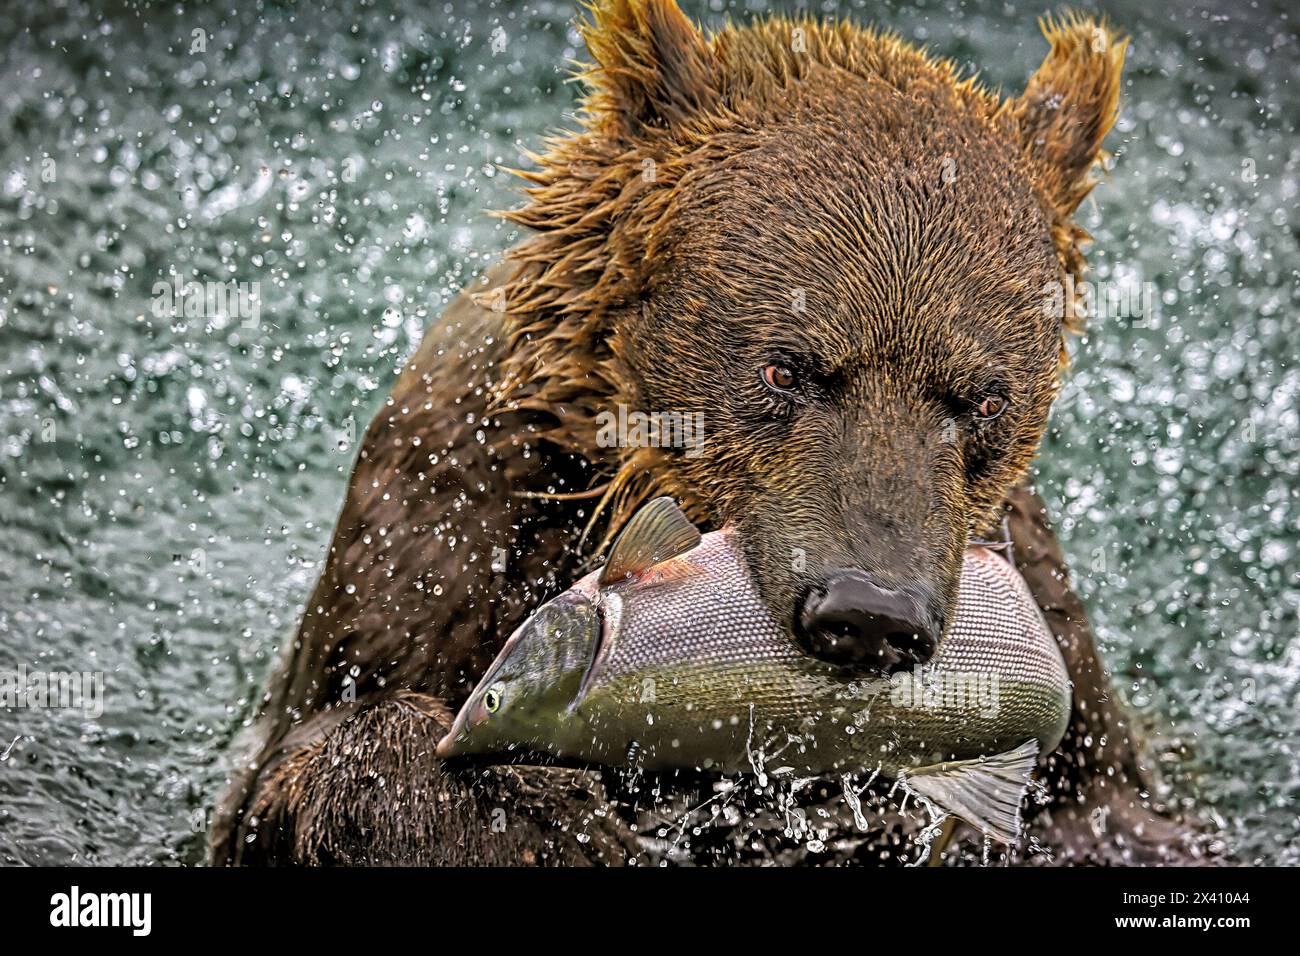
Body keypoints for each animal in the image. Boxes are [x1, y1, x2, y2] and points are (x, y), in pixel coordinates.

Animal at [210, 0, 1206, 868]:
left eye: (983, 399)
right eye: (787, 367)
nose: (871, 610)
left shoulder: (1044, 615)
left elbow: (1109, 814)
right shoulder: (436, 528)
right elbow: (310, 757)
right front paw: (551, 818)